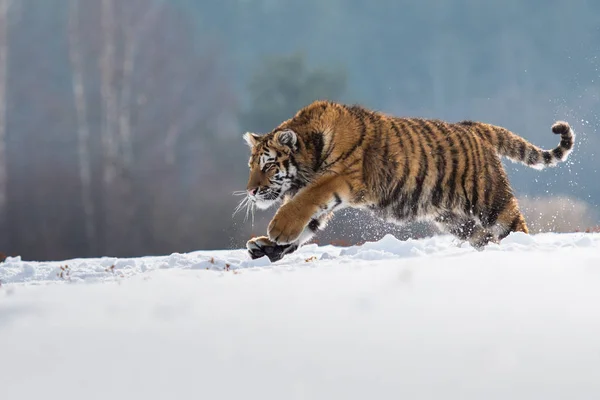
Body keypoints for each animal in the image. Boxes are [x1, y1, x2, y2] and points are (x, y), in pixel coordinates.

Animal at [238, 100, 572, 262]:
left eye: (268, 165)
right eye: (251, 166)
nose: (251, 190)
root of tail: (475, 128)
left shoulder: (341, 178)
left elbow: (302, 202)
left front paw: (276, 230)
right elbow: (306, 225)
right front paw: (265, 247)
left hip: (492, 202)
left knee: (516, 228)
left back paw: (522, 250)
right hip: (456, 220)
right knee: (484, 238)